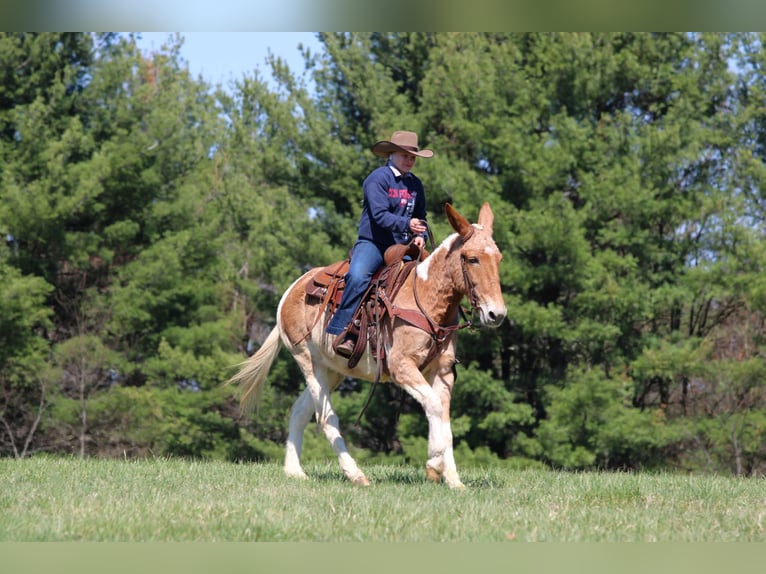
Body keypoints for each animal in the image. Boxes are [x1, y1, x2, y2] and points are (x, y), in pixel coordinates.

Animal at [227, 202, 506, 489]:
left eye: (499, 258)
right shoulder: (401, 366)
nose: (496, 314)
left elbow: (444, 420)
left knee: (300, 411)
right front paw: (433, 465)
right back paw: (355, 473)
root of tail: (291, 291)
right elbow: (435, 408)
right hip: (308, 362)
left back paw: (295, 471)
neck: (427, 299)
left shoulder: (442, 372)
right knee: (326, 417)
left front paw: (453, 480)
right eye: (472, 258)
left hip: (333, 369)